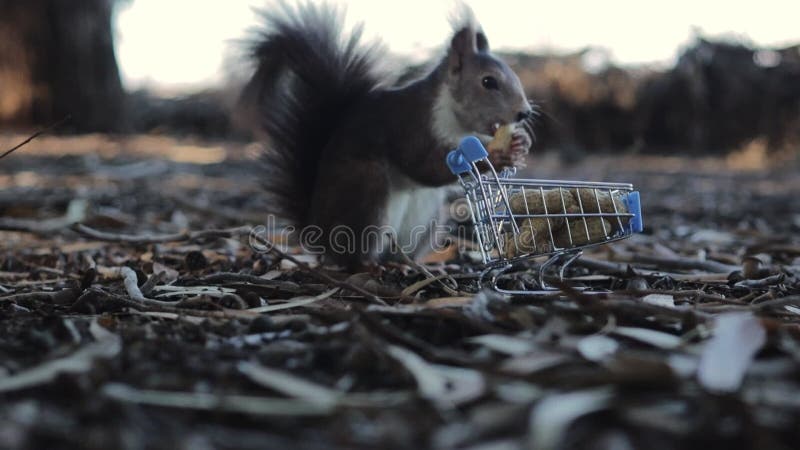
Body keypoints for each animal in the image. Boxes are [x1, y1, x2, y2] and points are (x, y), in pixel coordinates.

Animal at [241, 1, 536, 268]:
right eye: (488, 82)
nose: (524, 113)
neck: (455, 121)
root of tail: (317, 232)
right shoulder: (409, 126)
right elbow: (423, 165)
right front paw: (497, 156)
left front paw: (521, 144)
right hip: (366, 192)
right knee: (353, 253)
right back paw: (369, 264)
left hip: (429, 216)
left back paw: (409, 264)